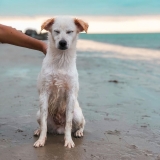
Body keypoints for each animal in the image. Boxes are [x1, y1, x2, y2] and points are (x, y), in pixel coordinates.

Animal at [33, 16, 89, 149]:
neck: (61, 61)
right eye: (56, 31)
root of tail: (59, 128)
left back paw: (79, 132)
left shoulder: (70, 95)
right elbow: (44, 124)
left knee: (81, 124)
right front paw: (41, 140)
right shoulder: (44, 93)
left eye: (70, 32)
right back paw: (38, 131)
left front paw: (68, 141)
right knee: (43, 125)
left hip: (77, 115)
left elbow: (68, 123)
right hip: (38, 114)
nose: (62, 43)